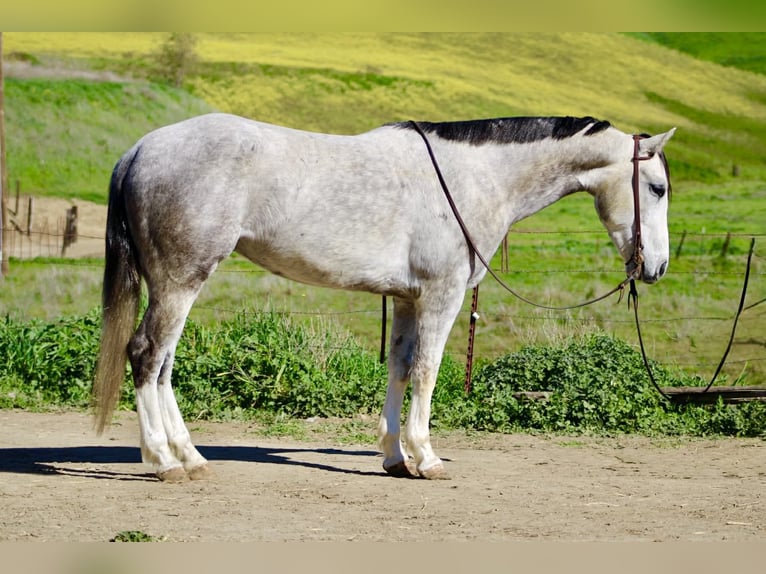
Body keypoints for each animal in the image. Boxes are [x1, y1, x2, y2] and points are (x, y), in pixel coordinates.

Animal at [93, 113, 675, 482]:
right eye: (658, 188)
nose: (657, 267)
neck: (472, 177)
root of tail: (140, 150)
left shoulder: (406, 299)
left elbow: (399, 368)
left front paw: (396, 458)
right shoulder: (441, 295)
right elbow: (427, 371)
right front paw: (427, 458)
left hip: (176, 286)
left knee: (164, 364)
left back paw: (189, 456)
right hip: (180, 282)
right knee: (146, 355)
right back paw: (163, 462)